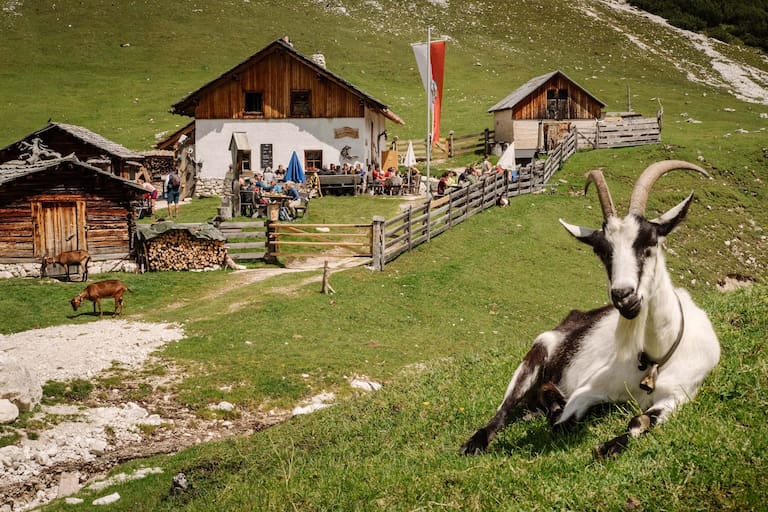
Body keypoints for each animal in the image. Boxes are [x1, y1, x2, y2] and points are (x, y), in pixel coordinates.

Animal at [462, 161, 720, 460]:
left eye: (650, 242)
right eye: (602, 251)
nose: (623, 296)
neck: (658, 356)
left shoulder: (680, 395)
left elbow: (640, 420)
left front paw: (608, 447)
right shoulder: (591, 386)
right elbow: (562, 424)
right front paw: (563, 417)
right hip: (536, 355)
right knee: (505, 409)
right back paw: (477, 441)